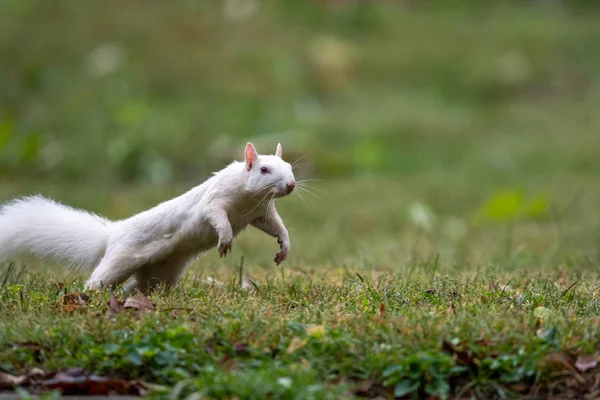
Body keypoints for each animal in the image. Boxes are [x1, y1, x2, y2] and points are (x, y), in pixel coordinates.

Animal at [0, 142, 296, 292]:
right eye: (264, 170)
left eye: (290, 166)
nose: (291, 185)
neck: (249, 200)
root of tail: (113, 235)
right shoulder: (214, 201)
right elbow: (217, 217)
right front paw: (224, 239)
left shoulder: (260, 213)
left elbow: (275, 226)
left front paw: (284, 247)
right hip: (120, 260)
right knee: (99, 280)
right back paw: (89, 295)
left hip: (160, 275)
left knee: (138, 287)